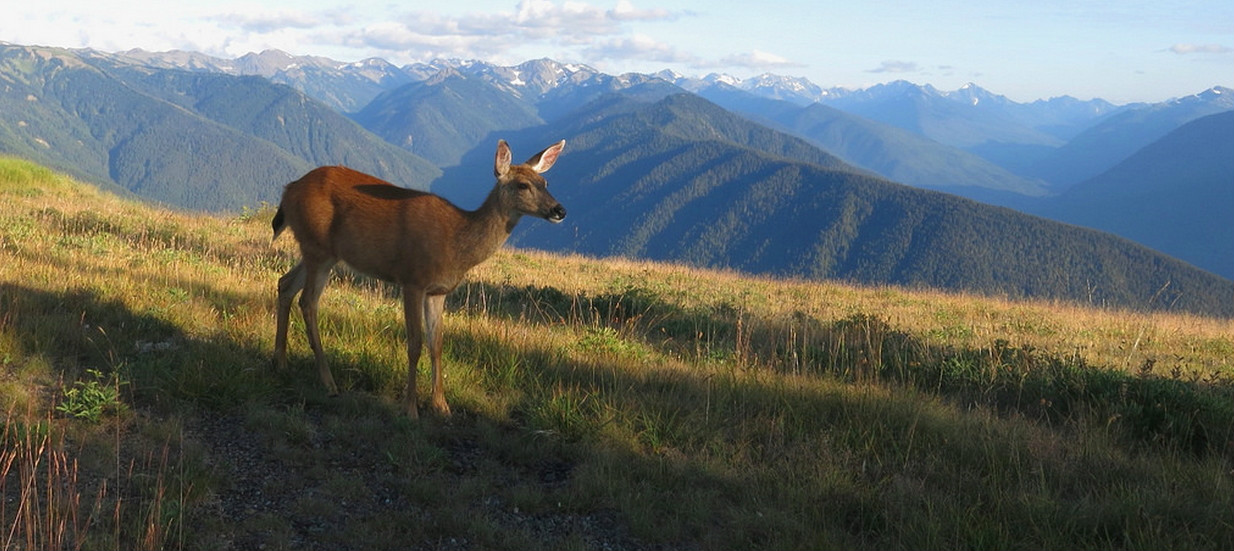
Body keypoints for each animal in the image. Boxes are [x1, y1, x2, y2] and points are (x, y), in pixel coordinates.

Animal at [272, 140, 565, 421]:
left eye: (546, 183)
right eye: (523, 185)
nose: (559, 210)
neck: (455, 242)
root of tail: (288, 190)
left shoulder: (438, 291)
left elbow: (436, 344)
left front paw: (442, 406)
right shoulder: (412, 280)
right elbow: (414, 344)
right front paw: (411, 409)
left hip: (321, 251)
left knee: (285, 284)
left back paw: (281, 362)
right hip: (317, 246)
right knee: (308, 301)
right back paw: (328, 381)